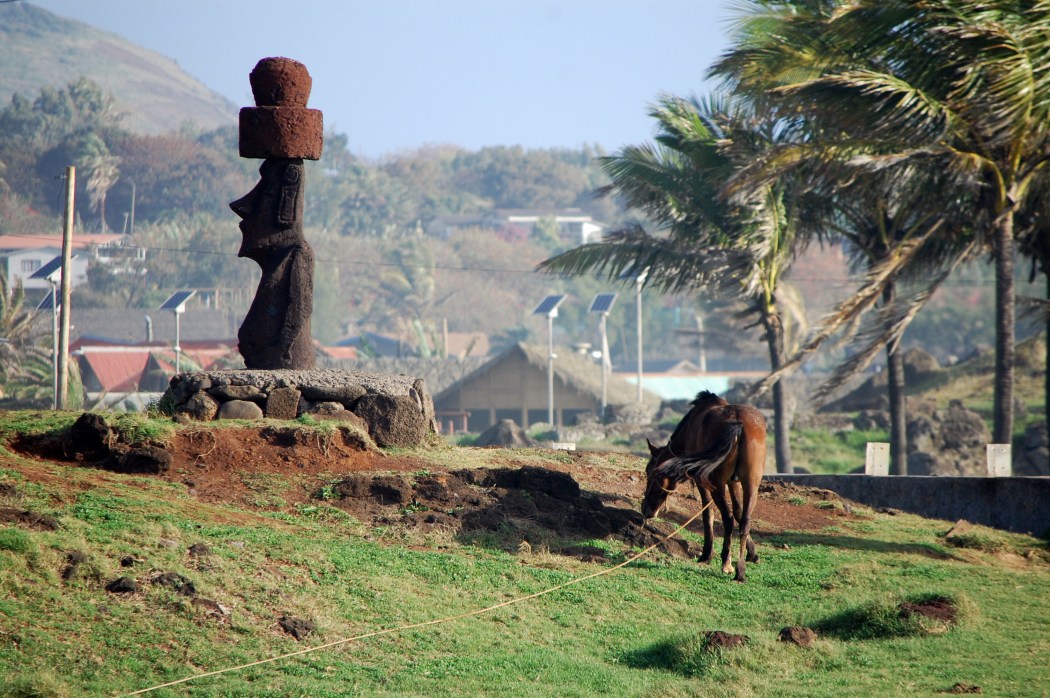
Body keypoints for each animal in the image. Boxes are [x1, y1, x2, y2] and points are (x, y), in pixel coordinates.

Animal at [641, 390, 766, 582]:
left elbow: (708, 513)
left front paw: (707, 554)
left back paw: (727, 563)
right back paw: (740, 570)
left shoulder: (703, 483)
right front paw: (752, 553)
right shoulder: (734, 482)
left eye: (650, 472)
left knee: (727, 518)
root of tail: (738, 424)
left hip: (717, 483)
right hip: (751, 482)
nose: (646, 509)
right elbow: (739, 512)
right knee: (744, 520)